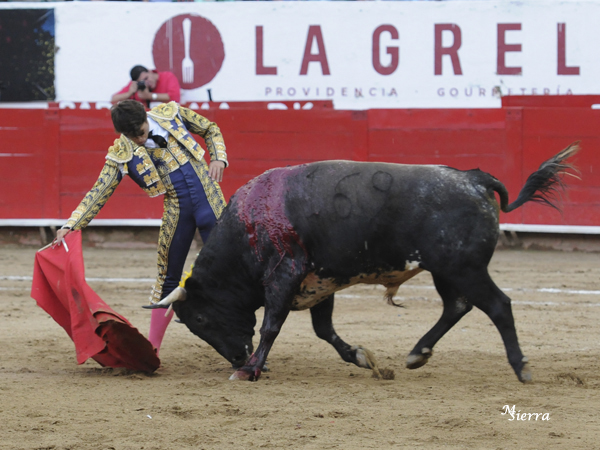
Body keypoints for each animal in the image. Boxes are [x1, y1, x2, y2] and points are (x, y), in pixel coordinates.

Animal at [163, 142, 576, 382]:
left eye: (200, 319)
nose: (236, 358)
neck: (247, 227)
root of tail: (475, 179)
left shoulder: (284, 276)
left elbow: (270, 327)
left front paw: (251, 370)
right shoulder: (318, 280)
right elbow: (323, 330)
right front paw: (360, 357)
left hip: (465, 268)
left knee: (498, 305)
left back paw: (521, 368)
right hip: (446, 270)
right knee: (457, 306)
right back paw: (417, 354)